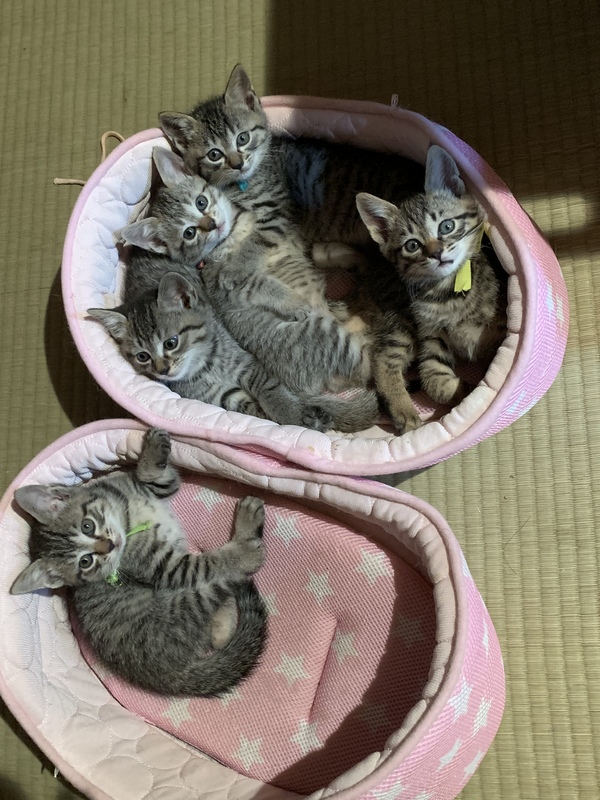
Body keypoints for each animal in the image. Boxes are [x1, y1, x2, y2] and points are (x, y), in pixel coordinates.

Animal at [10, 428, 268, 697]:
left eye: (87, 526)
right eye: (85, 562)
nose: (109, 546)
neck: (126, 517)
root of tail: (170, 676)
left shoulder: (154, 487)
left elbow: (151, 476)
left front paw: (153, 449)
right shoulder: (166, 568)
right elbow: (211, 564)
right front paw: (244, 552)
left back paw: (222, 626)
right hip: (183, 605)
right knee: (225, 581)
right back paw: (247, 532)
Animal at [89, 272, 379, 432]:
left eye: (171, 343)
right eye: (142, 357)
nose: (162, 370)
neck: (204, 367)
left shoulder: (250, 366)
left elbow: (271, 392)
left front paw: (290, 413)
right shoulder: (222, 397)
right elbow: (252, 409)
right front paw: (302, 417)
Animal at [119, 146, 371, 398]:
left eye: (201, 202)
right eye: (189, 233)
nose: (212, 224)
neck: (238, 232)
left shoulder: (290, 236)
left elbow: (317, 251)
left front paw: (350, 256)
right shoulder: (230, 284)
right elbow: (266, 286)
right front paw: (295, 304)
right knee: (366, 363)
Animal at [356, 145, 508, 405]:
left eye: (446, 226)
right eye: (412, 245)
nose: (436, 253)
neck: (449, 291)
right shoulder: (431, 335)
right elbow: (433, 378)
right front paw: (463, 391)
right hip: (399, 324)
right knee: (383, 361)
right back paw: (404, 410)